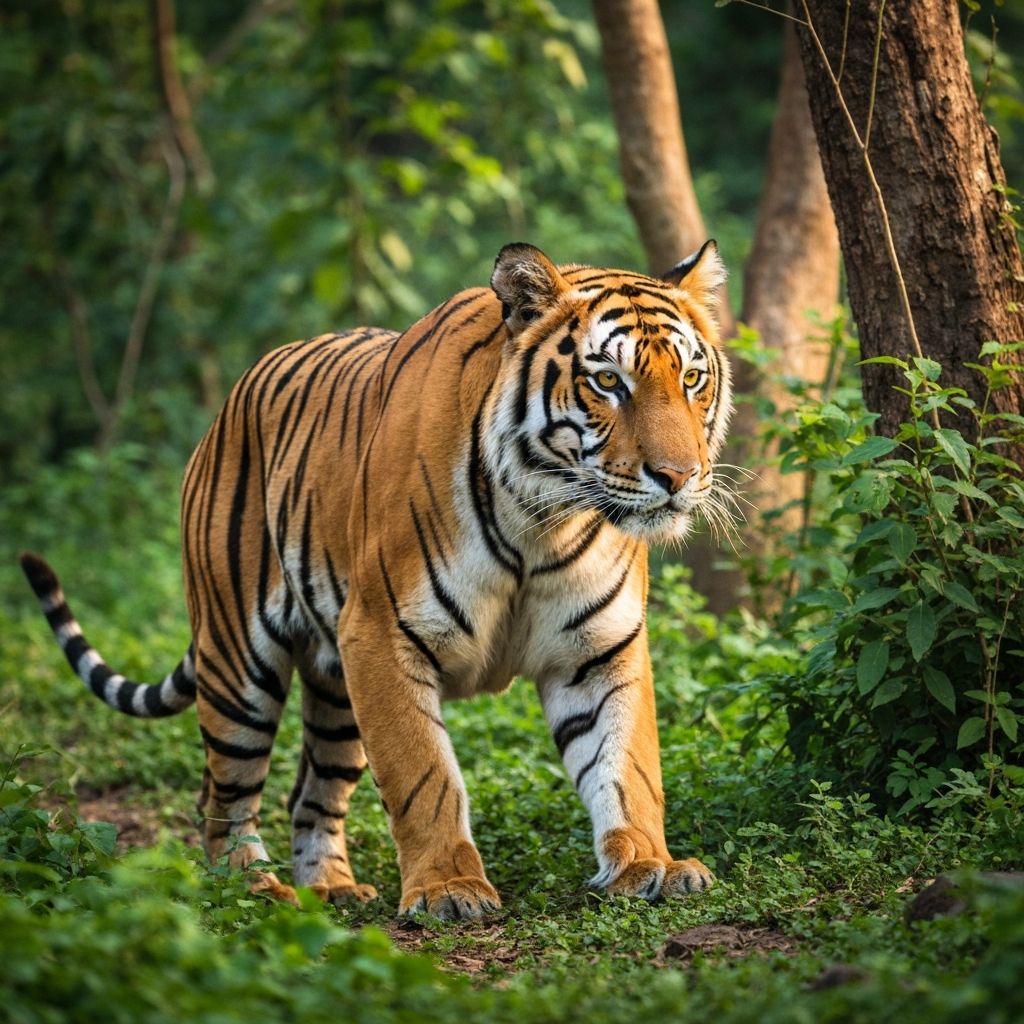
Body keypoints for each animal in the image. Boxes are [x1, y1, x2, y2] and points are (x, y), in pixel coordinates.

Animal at [21, 240, 732, 919]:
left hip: (336, 691)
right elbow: (424, 776)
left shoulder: (600, 649)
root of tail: (227, 404)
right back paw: (253, 888)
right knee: (223, 793)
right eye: (608, 380)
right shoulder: (383, 637)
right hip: (238, 665)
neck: (543, 520)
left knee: (309, 794)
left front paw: (650, 865)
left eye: (692, 378)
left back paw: (332, 889)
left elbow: (627, 768)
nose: (678, 476)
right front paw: (448, 888)